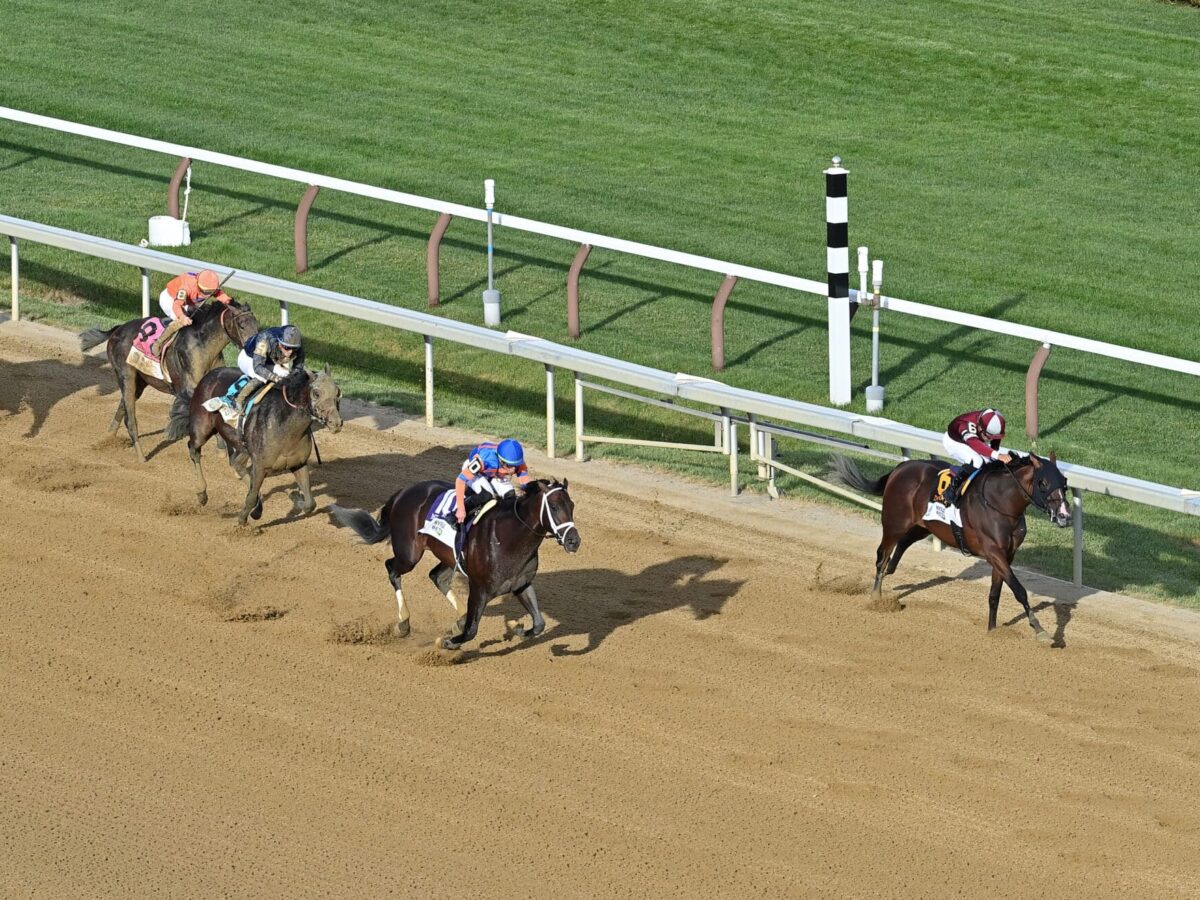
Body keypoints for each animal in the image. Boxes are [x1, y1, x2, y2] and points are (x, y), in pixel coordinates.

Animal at [80, 301, 260, 460]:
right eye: (242, 325)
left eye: (257, 326)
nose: (254, 352)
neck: (203, 345)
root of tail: (118, 329)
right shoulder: (190, 389)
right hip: (126, 376)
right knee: (130, 417)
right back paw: (141, 457)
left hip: (140, 382)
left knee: (122, 408)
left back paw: (108, 438)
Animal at [166, 362, 343, 525]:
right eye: (316, 393)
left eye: (338, 393)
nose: (336, 423)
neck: (285, 426)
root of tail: (210, 374)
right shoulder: (260, 466)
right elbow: (251, 497)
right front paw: (243, 520)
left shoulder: (298, 463)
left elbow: (310, 503)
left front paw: (295, 498)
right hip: (201, 429)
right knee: (194, 450)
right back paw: (202, 494)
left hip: (240, 444)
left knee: (236, 464)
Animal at [331, 482, 583, 652]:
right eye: (553, 506)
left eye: (571, 505)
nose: (574, 541)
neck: (508, 537)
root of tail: (403, 492)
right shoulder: (479, 589)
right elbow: (471, 631)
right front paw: (448, 642)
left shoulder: (521, 584)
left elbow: (539, 624)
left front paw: (519, 628)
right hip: (409, 554)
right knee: (392, 569)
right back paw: (403, 622)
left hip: (448, 556)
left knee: (436, 577)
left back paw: (457, 618)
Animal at [830, 453, 1075, 638]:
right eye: (1043, 483)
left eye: (1064, 483)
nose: (1065, 516)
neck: (1002, 503)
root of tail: (901, 467)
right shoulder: (993, 551)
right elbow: (1019, 590)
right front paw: (1039, 629)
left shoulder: (1007, 554)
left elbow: (995, 594)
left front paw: (992, 631)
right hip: (894, 523)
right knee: (882, 555)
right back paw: (877, 597)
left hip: (925, 525)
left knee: (903, 544)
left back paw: (891, 570)